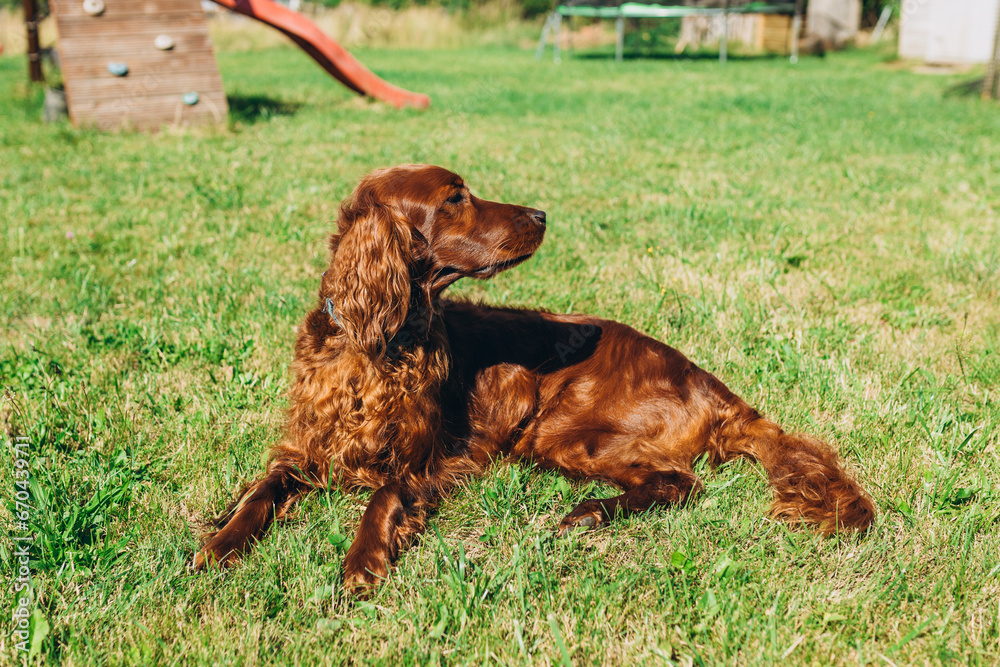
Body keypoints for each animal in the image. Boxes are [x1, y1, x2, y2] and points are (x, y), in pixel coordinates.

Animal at [193, 164, 868, 592]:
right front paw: (220, 544)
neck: (379, 340)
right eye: (454, 198)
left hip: (563, 433)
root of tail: (709, 383)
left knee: (681, 482)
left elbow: (385, 495)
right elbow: (261, 491)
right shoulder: (306, 446)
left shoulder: (432, 457)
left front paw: (362, 560)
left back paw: (589, 513)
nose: (542, 212)